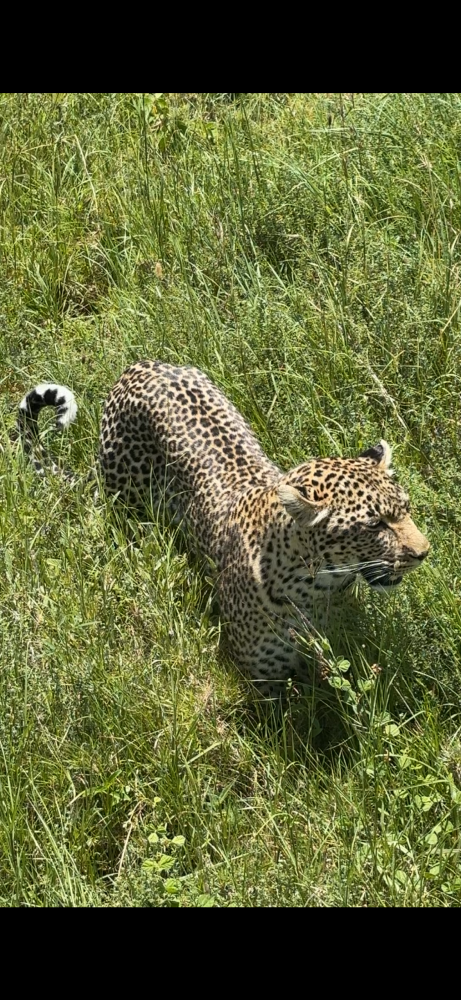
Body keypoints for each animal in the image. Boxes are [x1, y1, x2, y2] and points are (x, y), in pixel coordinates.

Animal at [17, 360, 430, 692]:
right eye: (374, 525)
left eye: (406, 509)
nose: (423, 553)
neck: (316, 589)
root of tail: (139, 366)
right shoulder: (264, 681)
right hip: (126, 504)